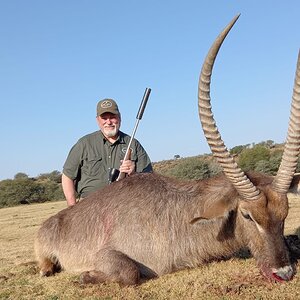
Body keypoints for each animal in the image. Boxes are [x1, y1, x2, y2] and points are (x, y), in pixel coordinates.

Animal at [35, 14, 300, 286]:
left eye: (285, 214)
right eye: (247, 215)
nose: (283, 272)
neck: (180, 213)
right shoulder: (108, 254)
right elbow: (129, 272)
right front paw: (85, 275)